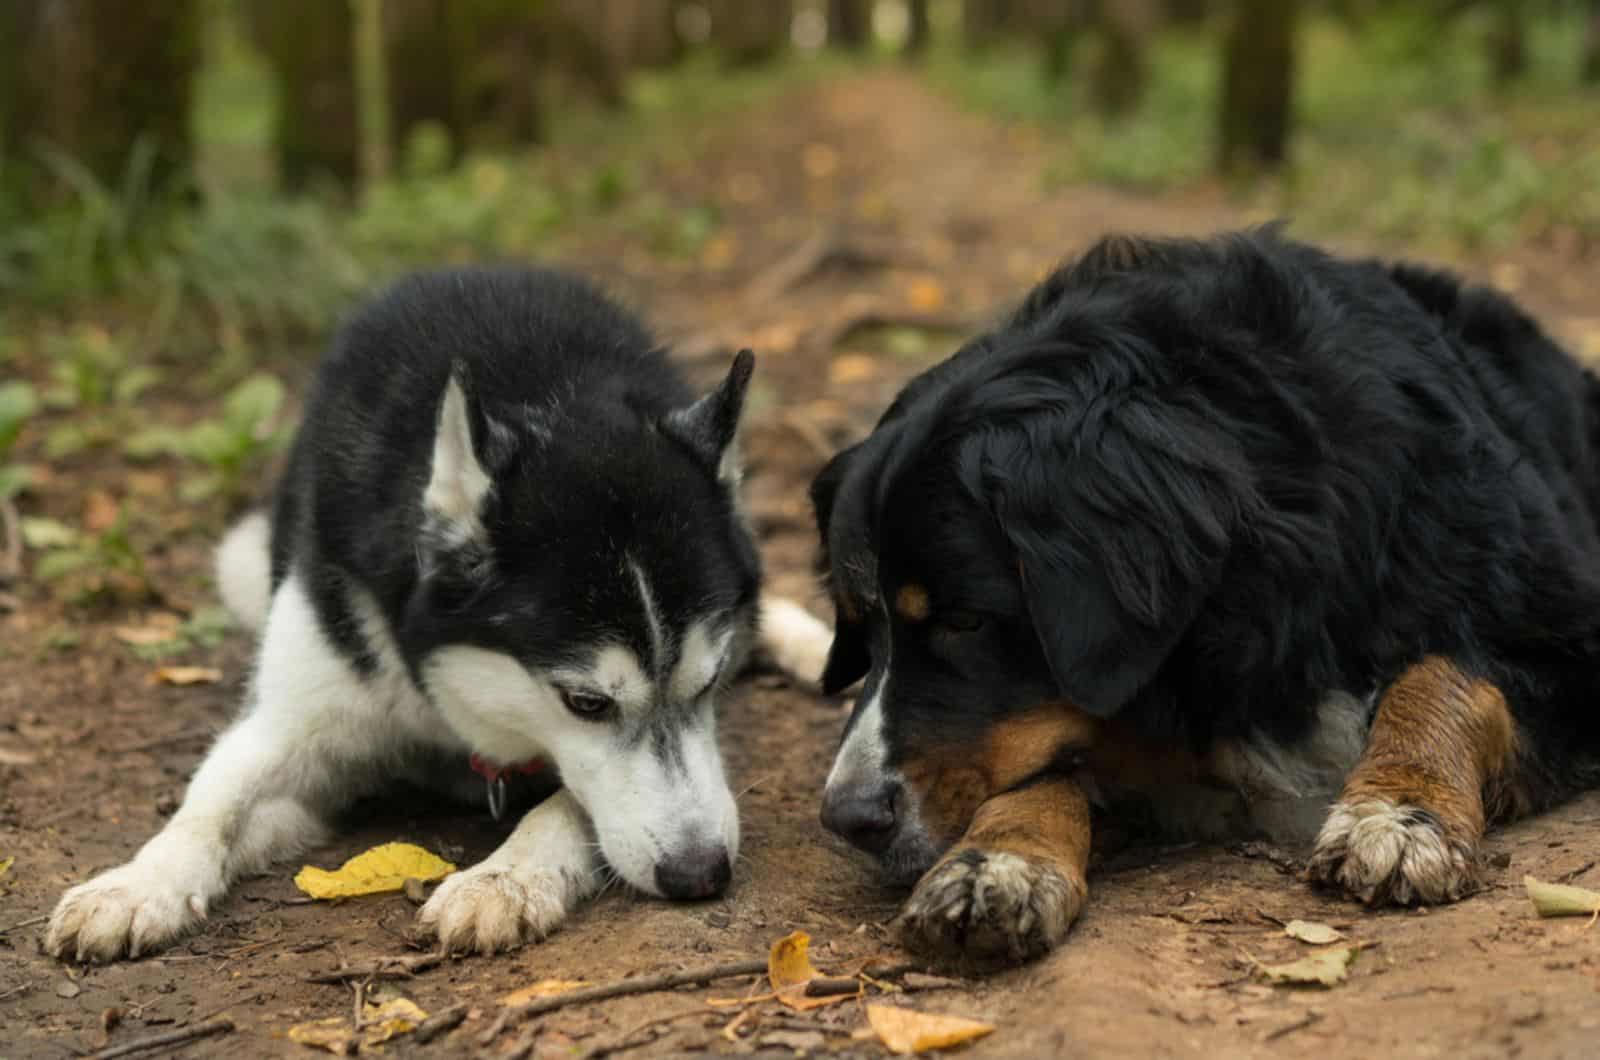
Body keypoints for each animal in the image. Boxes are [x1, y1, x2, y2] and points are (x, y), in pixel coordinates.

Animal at [812, 228, 1600, 967]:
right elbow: (1044, 770)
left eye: (966, 621)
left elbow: (1444, 676)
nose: (848, 818)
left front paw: (1399, 811)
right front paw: (996, 863)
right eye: (862, 628)